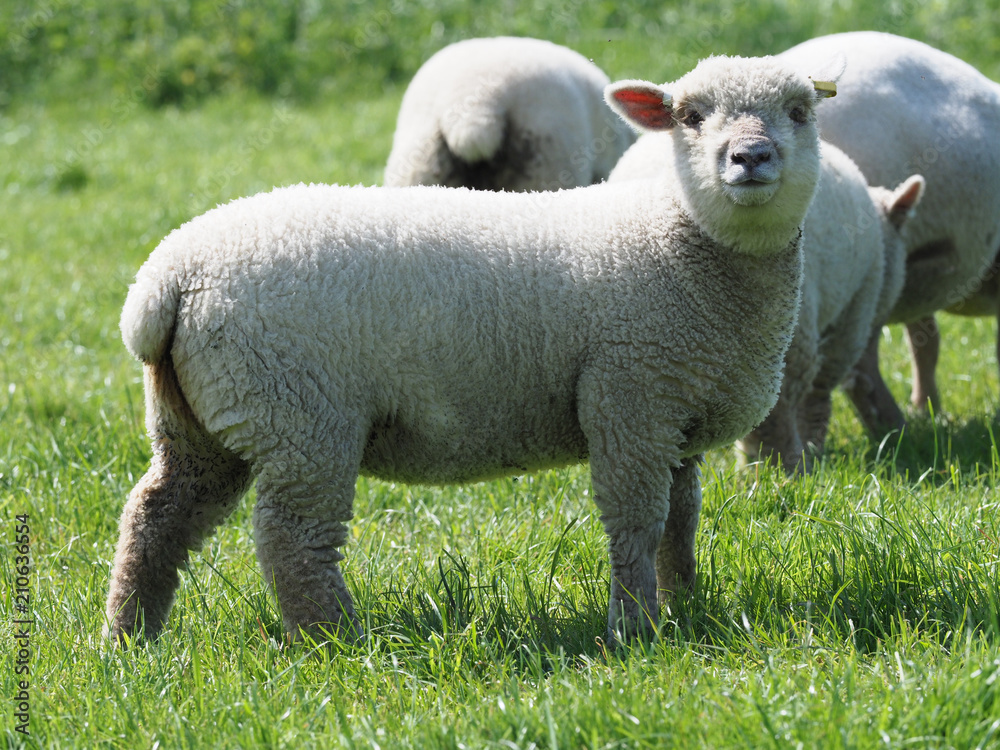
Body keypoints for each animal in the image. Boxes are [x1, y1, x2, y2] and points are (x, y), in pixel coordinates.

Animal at [106, 55, 834, 647]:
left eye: (801, 112)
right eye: (690, 116)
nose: (750, 157)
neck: (682, 243)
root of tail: (167, 279)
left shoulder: (676, 418)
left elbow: (681, 523)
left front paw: (686, 605)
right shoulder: (632, 405)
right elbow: (637, 524)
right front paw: (636, 628)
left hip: (203, 416)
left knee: (157, 517)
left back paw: (130, 640)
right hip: (301, 415)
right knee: (293, 540)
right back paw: (336, 642)